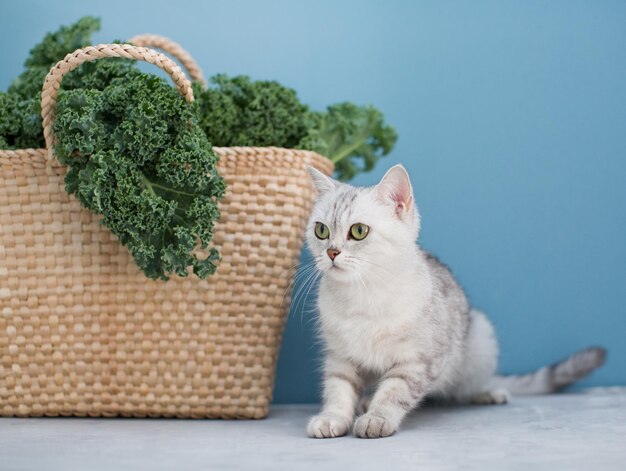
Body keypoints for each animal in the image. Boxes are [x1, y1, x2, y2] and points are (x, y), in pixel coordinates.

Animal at [302, 165, 604, 438]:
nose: (331, 252)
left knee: (468, 386)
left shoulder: (418, 359)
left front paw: (377, 418)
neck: (362, 295)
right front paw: (333, 417)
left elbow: (395, 391)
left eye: (359, 231)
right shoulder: (340, 357)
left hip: (480, 341)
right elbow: (338, 389)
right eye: (321, 231)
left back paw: (487, 392)